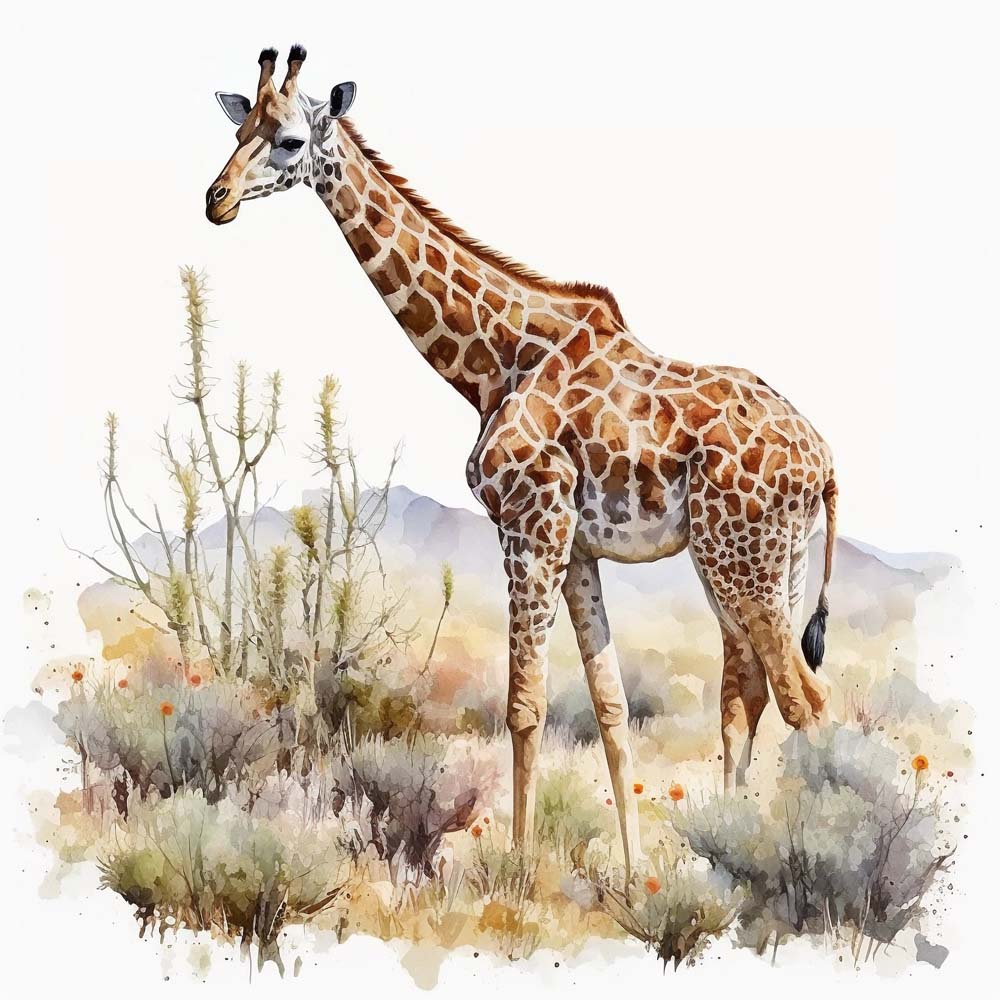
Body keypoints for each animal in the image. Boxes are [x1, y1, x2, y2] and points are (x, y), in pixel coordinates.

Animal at [206, 47, 835, 878]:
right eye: (237, 128)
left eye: (286, 141)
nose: (215, 200)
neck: (492, 362)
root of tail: (825, 458)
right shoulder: (576, 545)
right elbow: (609, 708)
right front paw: (633, 876)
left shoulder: (529, 521)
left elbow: (525, 704)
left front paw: (520, 871)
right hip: (757, 559)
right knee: (749, 694)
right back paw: (728, 858)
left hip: (745, 560)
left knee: (805, 702)